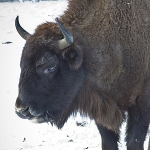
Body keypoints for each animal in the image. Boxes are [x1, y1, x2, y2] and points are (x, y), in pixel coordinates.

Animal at [14, 0, 149, 150]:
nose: (21, 110)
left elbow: (134, 141)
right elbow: (108, 141)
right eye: (22, 64)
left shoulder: (142, 102)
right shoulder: (101, 108)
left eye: (50, 67)